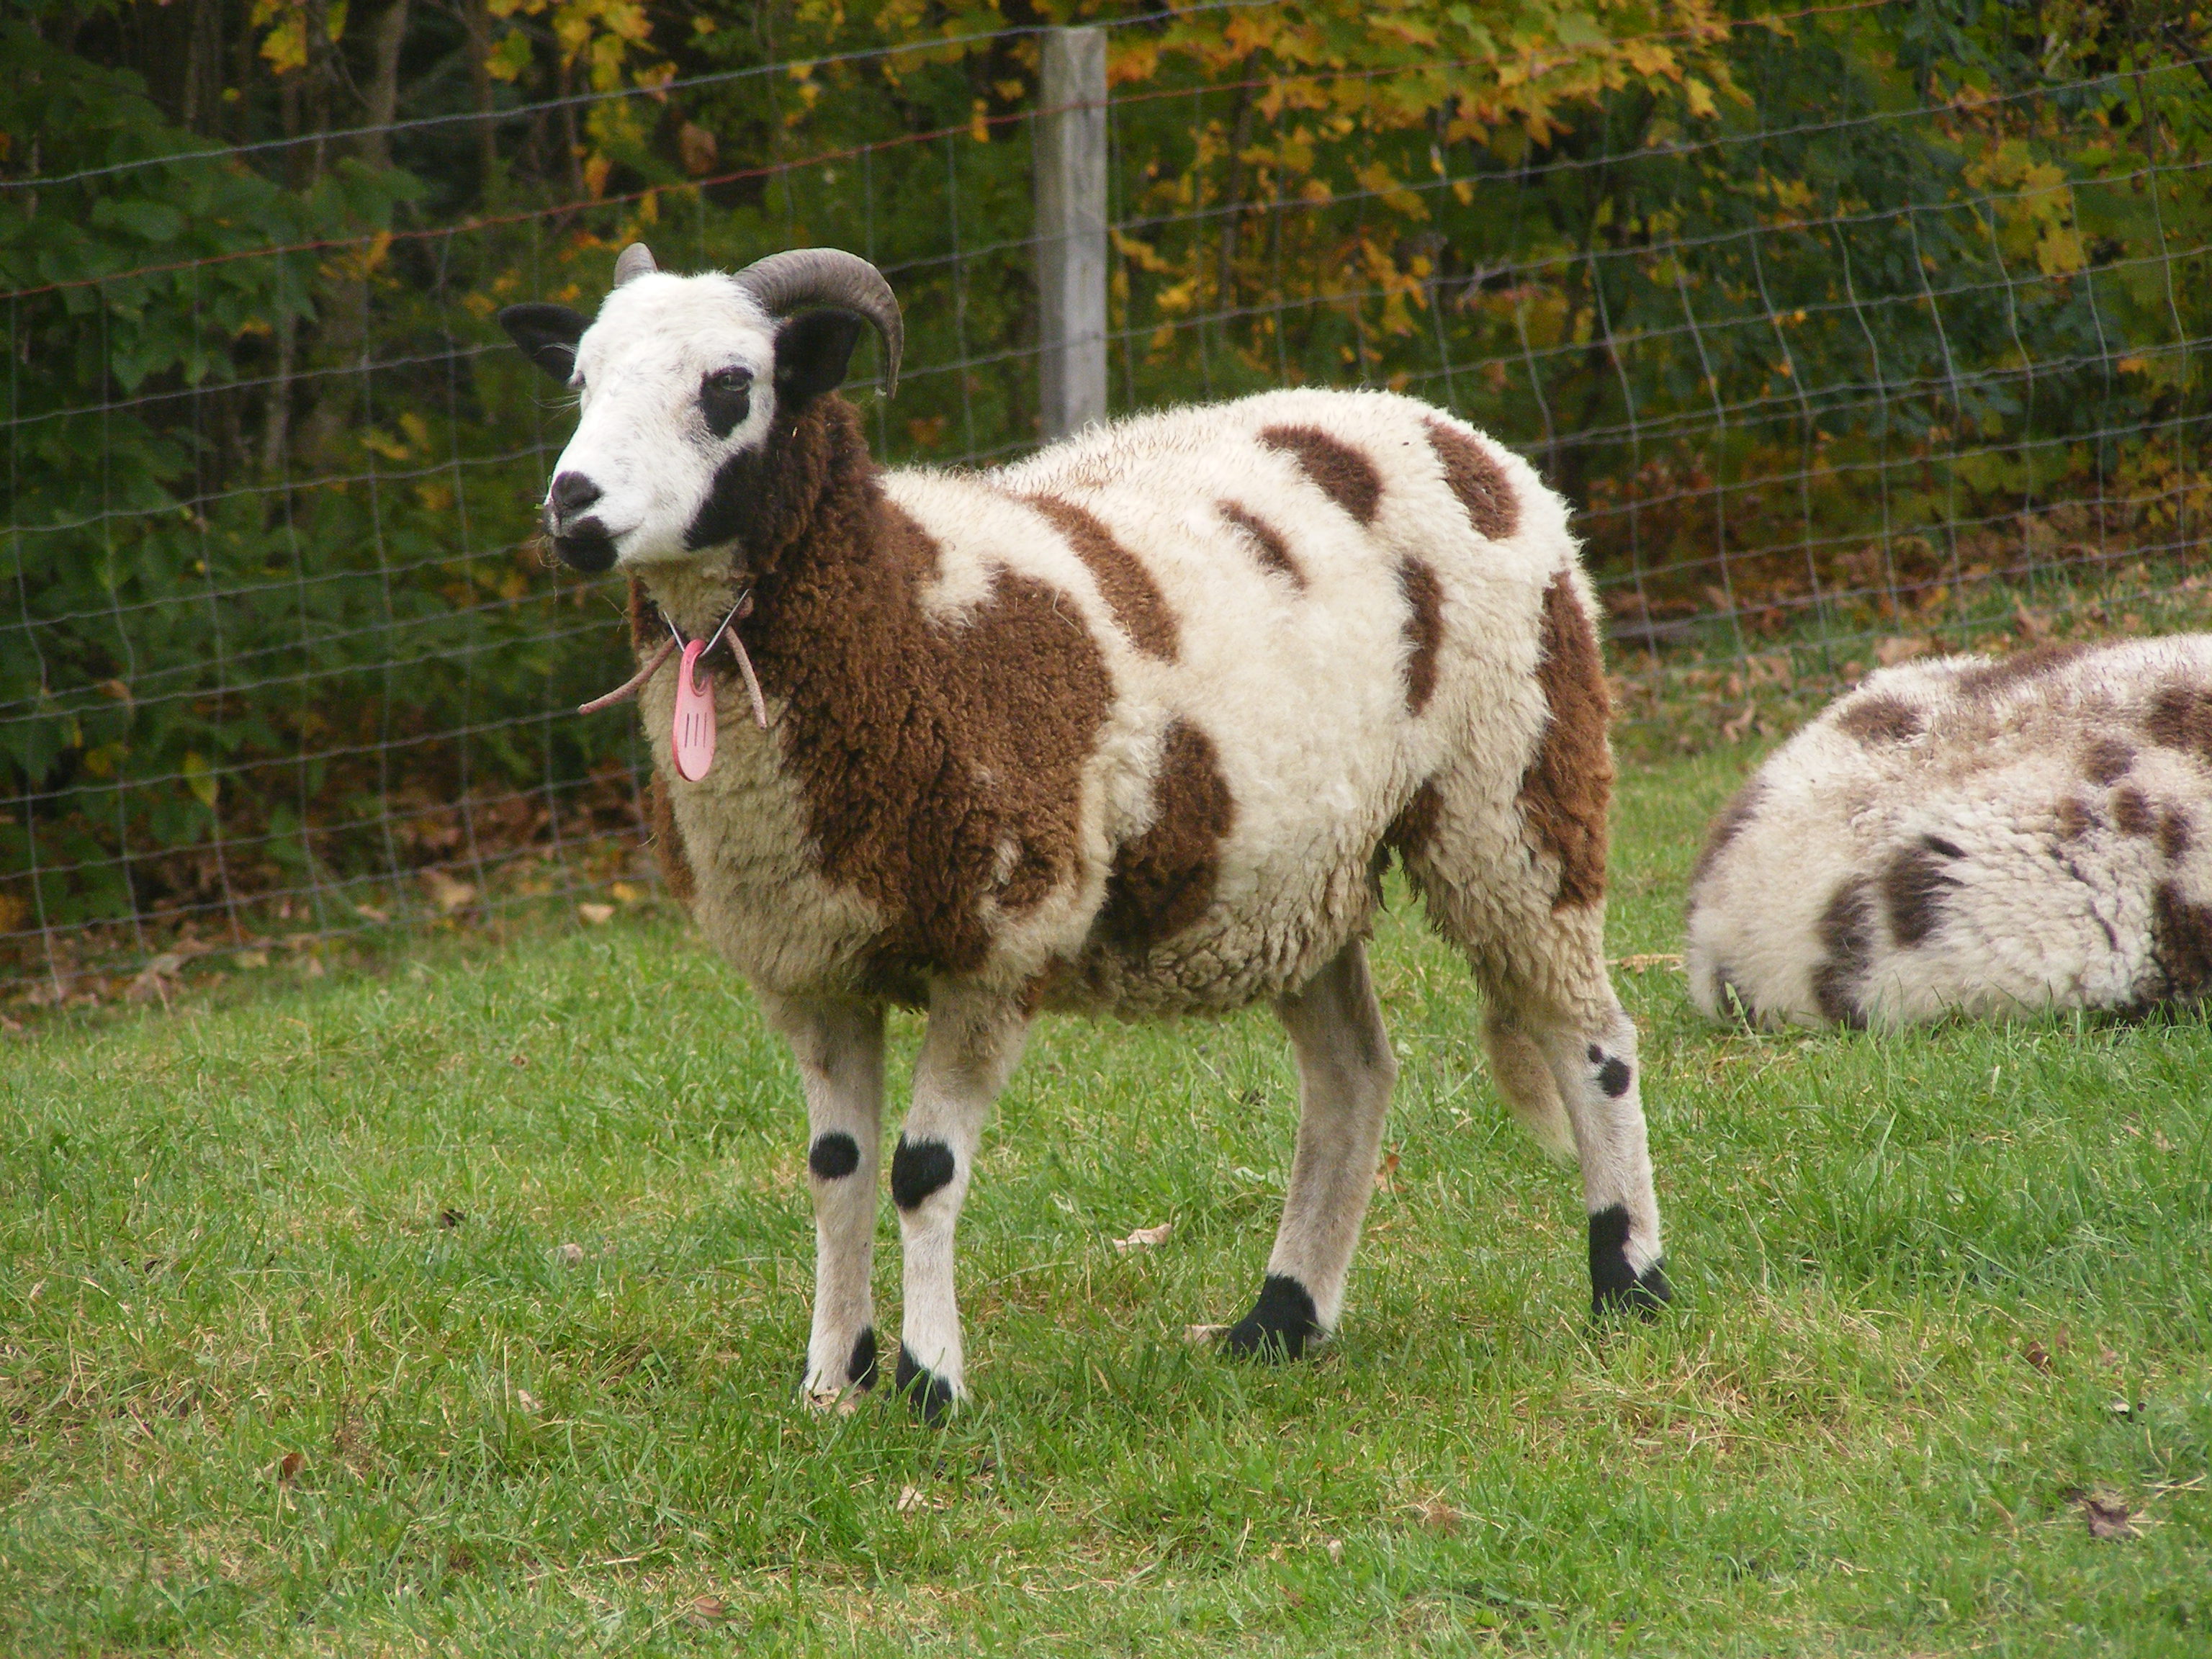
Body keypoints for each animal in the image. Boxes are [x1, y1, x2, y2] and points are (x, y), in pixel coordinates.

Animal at [499, 242, 1669, 1420]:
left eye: (730, 386)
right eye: (580, 380)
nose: (570, 506)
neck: (901, 618)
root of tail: (1455, 434)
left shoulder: (1001, 943)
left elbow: (921, 1168)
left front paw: (931, 1384)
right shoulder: (807, 961)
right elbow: (836, 1167)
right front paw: (831, 1383)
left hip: (1515, 783)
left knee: (1592, 1039)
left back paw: (1631, 1289)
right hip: (1297, 870)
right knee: (1353, 1080)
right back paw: (1281, 1322)